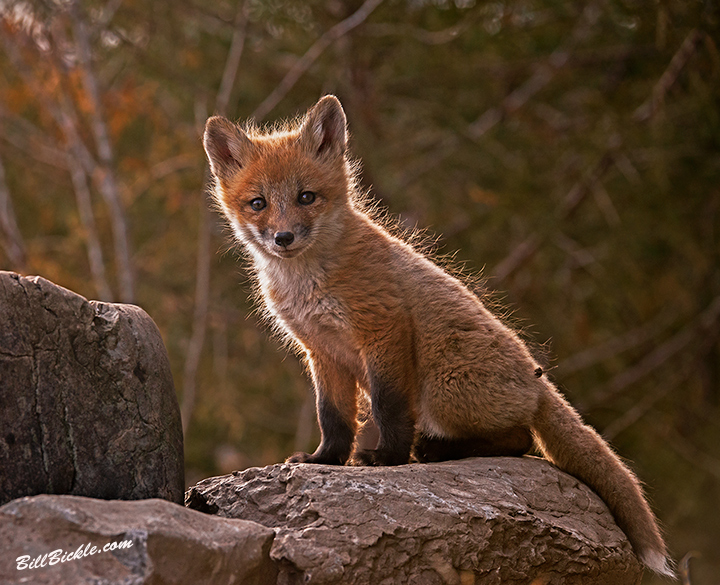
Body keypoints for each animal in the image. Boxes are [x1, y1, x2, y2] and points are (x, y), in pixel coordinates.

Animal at [203, 95, 674, 578]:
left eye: (306, 197)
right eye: (258, 202)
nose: (283, 237)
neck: (309, 283)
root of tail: (538, 381)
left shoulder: (384, 331)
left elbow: (389, 409)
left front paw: (387, 459)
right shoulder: (322, 352)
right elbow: (333, 417)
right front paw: (325, 461)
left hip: (441, 392)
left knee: (520, 440)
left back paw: (435, 450)